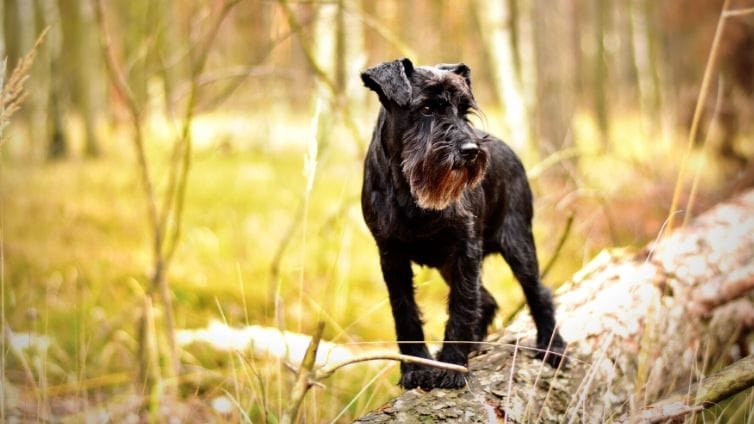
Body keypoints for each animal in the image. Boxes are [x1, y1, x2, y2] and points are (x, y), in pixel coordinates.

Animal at [358, 58, 564, 390]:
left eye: (464, 109)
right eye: (427, 108)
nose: (471, 150)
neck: (410, 193)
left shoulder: (465, 251)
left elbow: (461, 306)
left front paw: (452, 366)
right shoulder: (391, 257)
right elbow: (405, 312)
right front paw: (416, 368)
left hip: (518, 245)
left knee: (538, 292)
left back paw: (552, 346)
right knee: (488, 300)